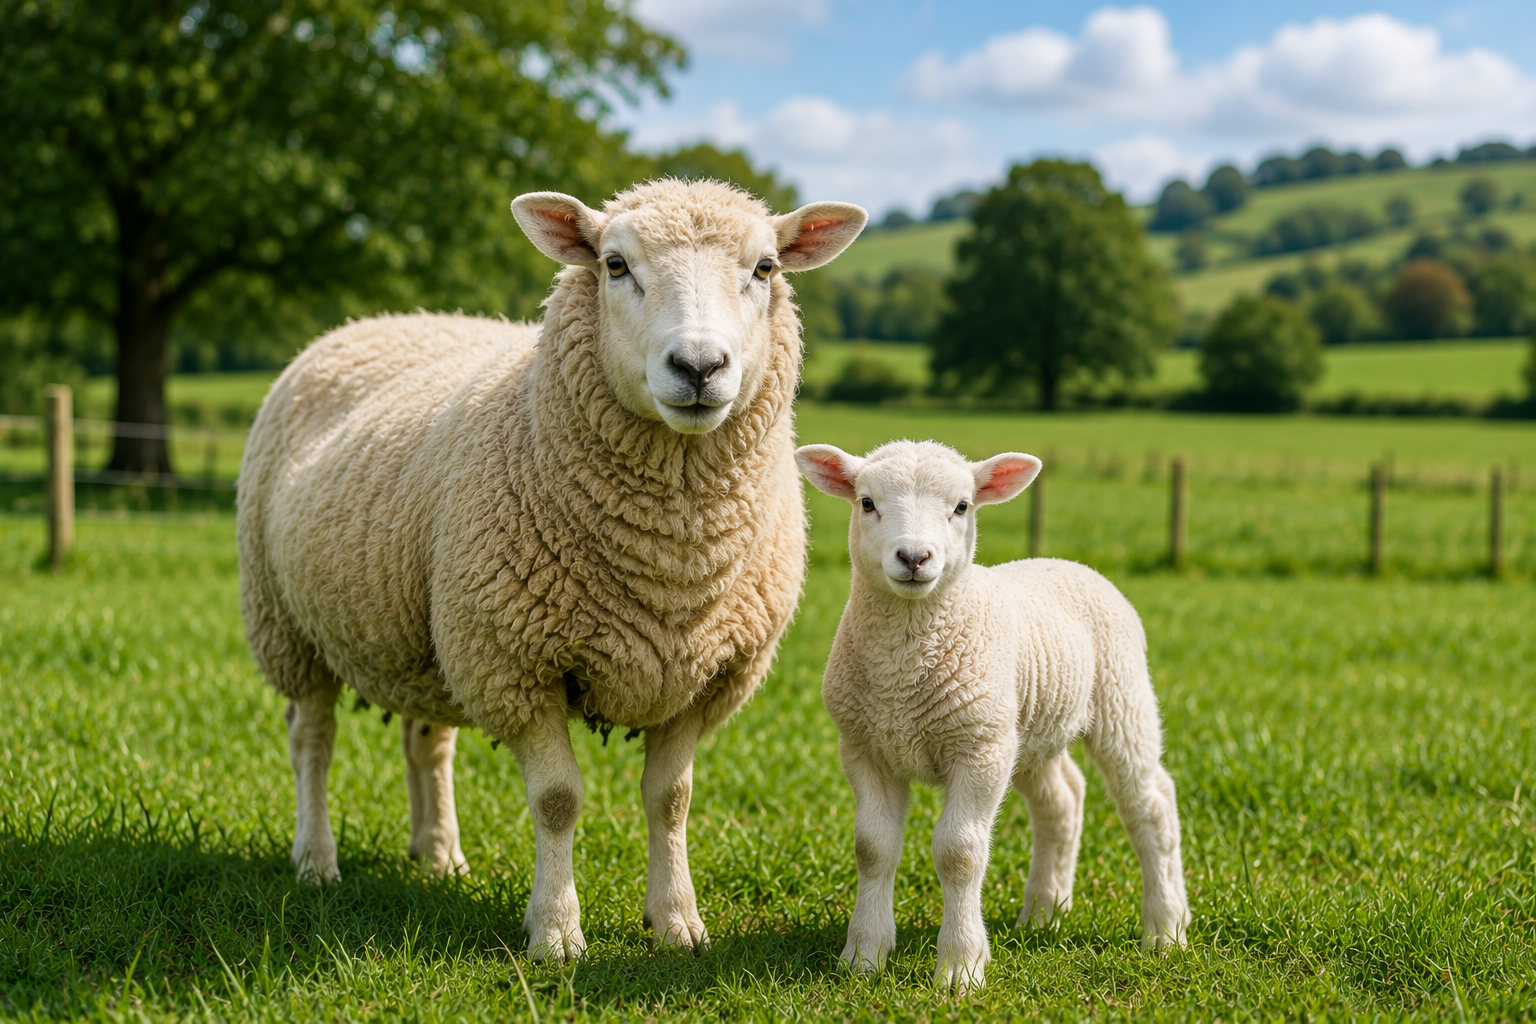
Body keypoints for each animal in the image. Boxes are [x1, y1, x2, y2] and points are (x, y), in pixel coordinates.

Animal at [237, 179, 867, 959]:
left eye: (766, 268)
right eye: (615, 264)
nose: (697, 368)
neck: (671, 559)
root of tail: (375, 322)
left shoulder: (704, 675)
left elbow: (671, 799)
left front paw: (677, 923)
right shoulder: (516, 663)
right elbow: (558, 799)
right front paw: (558, 932)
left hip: (432, 635)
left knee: (427, 741)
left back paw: (437, 854)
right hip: (289, 623)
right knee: (311, 741)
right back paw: (316, 859)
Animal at [795, 439, 1190, 991]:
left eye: (962, 507)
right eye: (867, 503)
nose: (914, 557)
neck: (903, 672)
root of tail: (1065, 561)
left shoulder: (978, 749)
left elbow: (959, 853)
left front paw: (960, 969)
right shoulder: (865, 746)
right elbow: (872, 848)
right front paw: (864, 957)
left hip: (1121, 697)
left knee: (1150, 804)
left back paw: (1166, 929)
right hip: (1025, 732)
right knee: (1062, 799)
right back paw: (1045, 913)